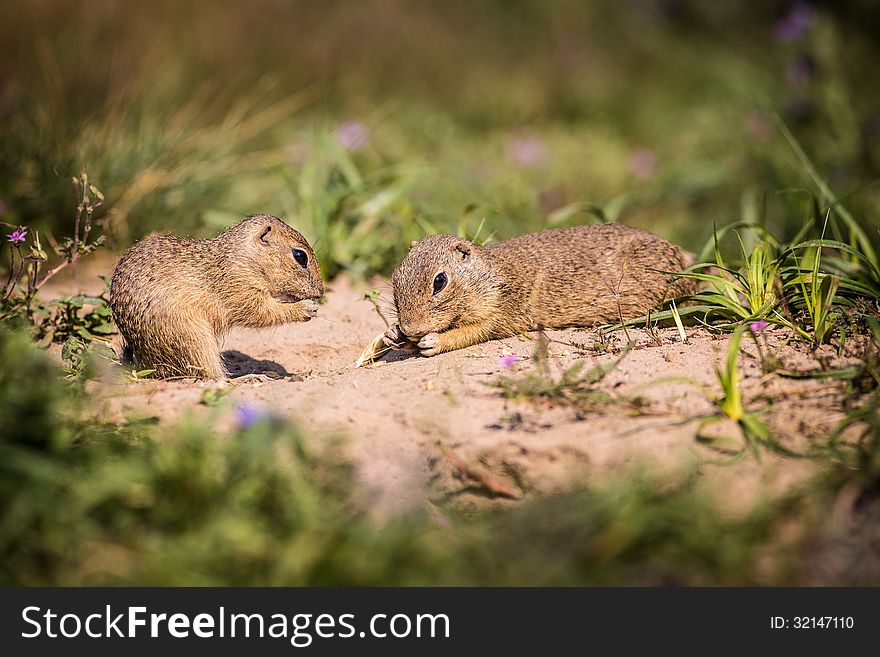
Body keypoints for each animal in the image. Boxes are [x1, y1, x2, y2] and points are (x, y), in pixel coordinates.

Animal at [110, 215, 324, 380]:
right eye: (300, 256)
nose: (321, 292)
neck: (241, 257)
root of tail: (150, 366)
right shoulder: (241, 290)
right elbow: (262, 313)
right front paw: (305, 308)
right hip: (194, 338)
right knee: (214, 376)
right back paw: (251, 377)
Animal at [384, 222, 696, 354]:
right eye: (396, 275)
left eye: (439, 281)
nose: (411, 329)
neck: (489, 276)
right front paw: (392, 334)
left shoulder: (492, 313)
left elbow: (471, 333)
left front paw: (432, 342)